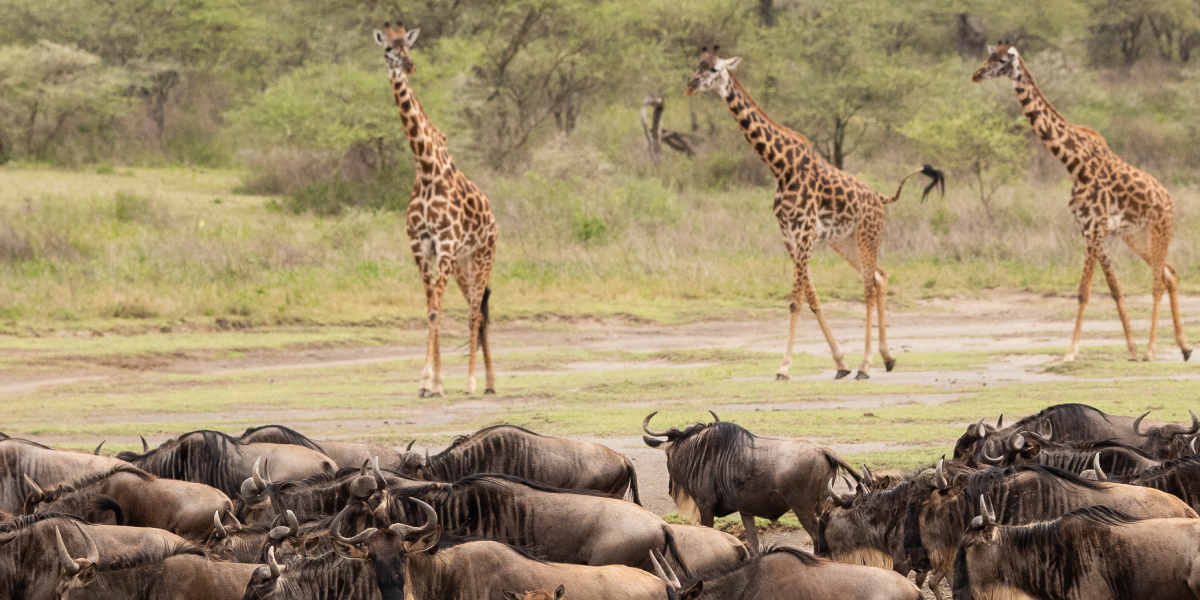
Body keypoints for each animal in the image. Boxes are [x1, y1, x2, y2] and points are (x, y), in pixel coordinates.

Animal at [369, 23, 492, 396]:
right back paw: (490, 383)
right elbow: (431, 308)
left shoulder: (446, 244)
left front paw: (430, 381)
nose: (408, 66)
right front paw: (433, 382)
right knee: (478, 310)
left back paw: (472, 382)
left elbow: (436, 310)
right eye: (388, 49)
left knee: (476, 313)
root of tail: (495, 219)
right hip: (462, 266)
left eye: (407, 47)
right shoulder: (422, 245)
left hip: (481, 257)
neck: (424, 168)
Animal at [691, 48, 940, 379]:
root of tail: (880, 198)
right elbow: (812, 298)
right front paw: (840, 363)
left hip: (867, 235)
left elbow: (795, 301)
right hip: (844, 242)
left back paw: (866, 365)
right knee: (879, 276)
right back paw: (887, 358)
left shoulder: (805, 232)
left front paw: (784, 367)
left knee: (868, 287)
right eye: (696, 66)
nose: (690, 84)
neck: (780, 167)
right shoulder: (789, 236)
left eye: (714, 69)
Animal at [974, 43, 1190, 360]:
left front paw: (1072, 351)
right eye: (987, 56)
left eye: (1001, 60)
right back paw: (1183, 347)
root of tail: (1169, 199)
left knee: (1157, 282)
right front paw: (1131, 347)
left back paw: (1153, 350)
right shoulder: (1089, 229)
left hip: (1161, 229)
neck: (1073, 164)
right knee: (1169, 273)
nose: (976, 74)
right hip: (1136, 237)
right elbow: (1114, 288)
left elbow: (1083, 291)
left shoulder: (1095, 227)